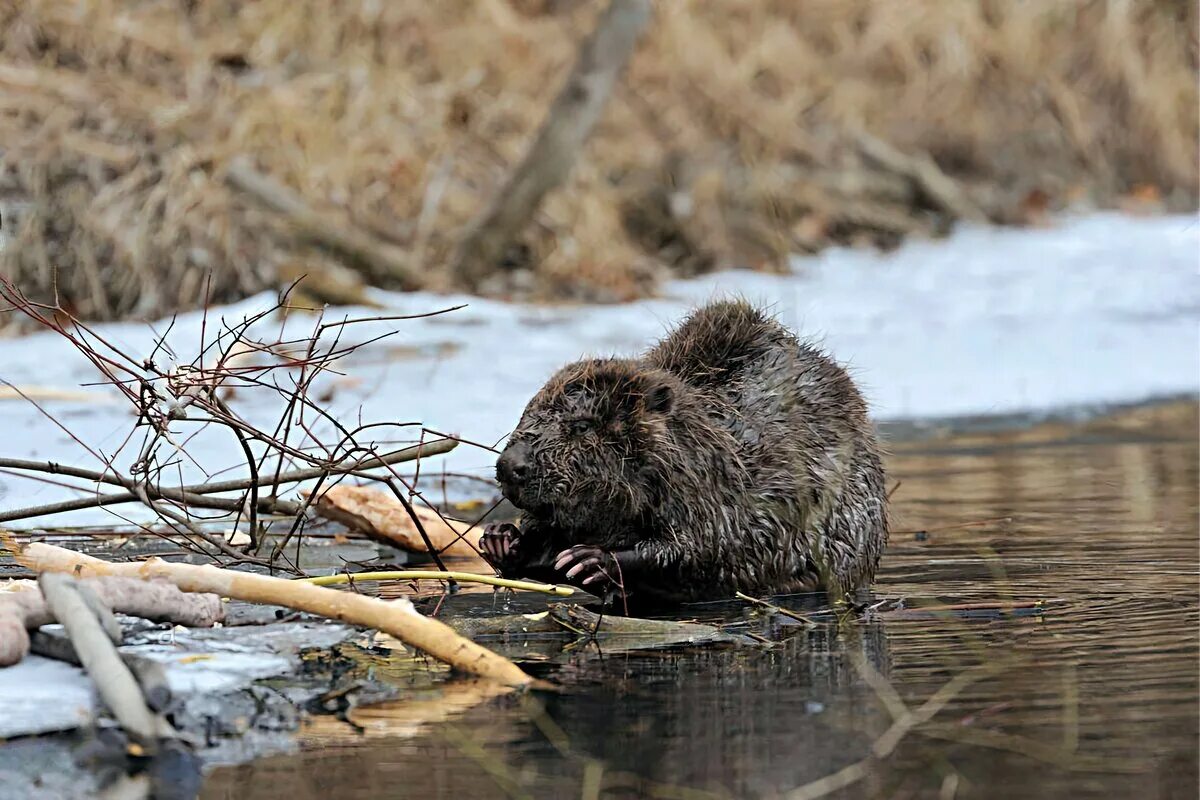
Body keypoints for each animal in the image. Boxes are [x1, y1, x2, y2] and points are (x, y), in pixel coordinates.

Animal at [480, 299, 892, 606]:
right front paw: (501, 539)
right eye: (526, 413)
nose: (508, 465)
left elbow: (701, 546)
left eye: (582, 426)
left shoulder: (713, 491)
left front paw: (591, 559)